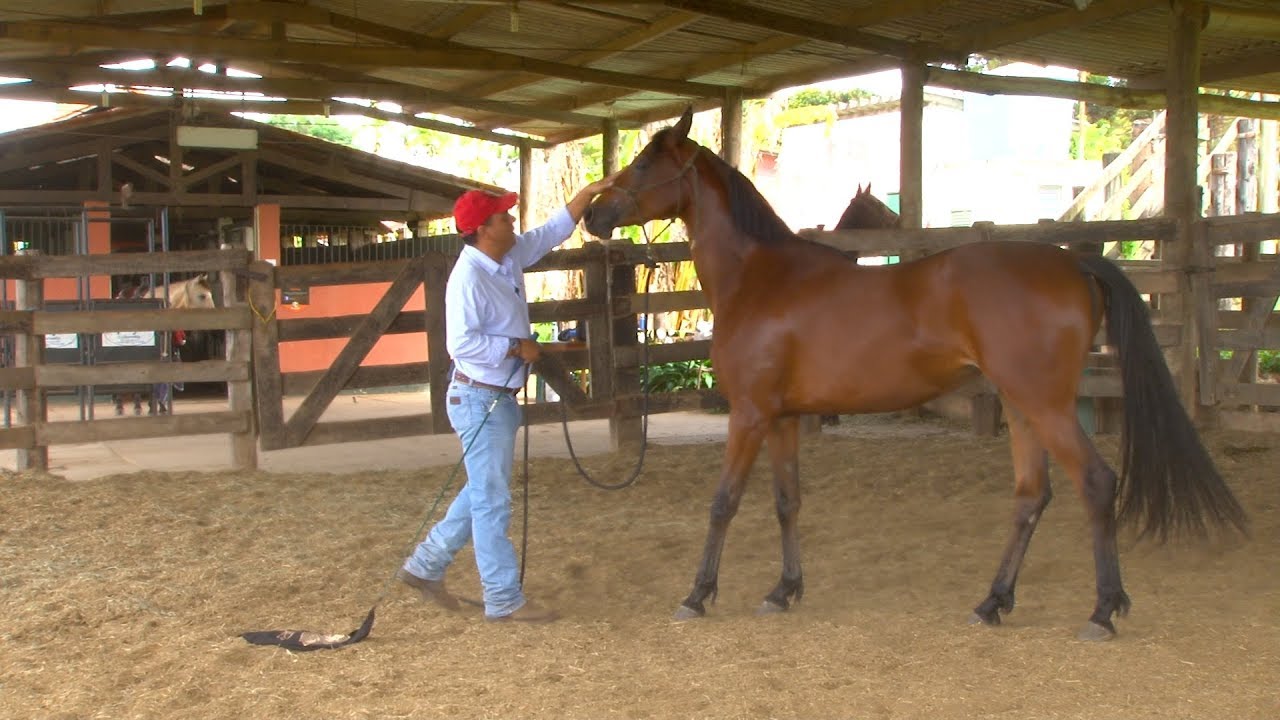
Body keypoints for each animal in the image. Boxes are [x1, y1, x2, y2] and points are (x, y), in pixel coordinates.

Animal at [582, 107, 1247, 640]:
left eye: (643, 164)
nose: (594, 214)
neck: (759, 277)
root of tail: (1072, 264)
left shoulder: (748, 415)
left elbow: (723, 502)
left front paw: (698, 594)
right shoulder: (783, 418)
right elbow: (786, 501)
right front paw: (783, 590)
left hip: (1048, 406)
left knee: (1097, 482)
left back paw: (1102, 611)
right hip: (1022, 406)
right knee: (1032, 495)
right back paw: (992, 602)